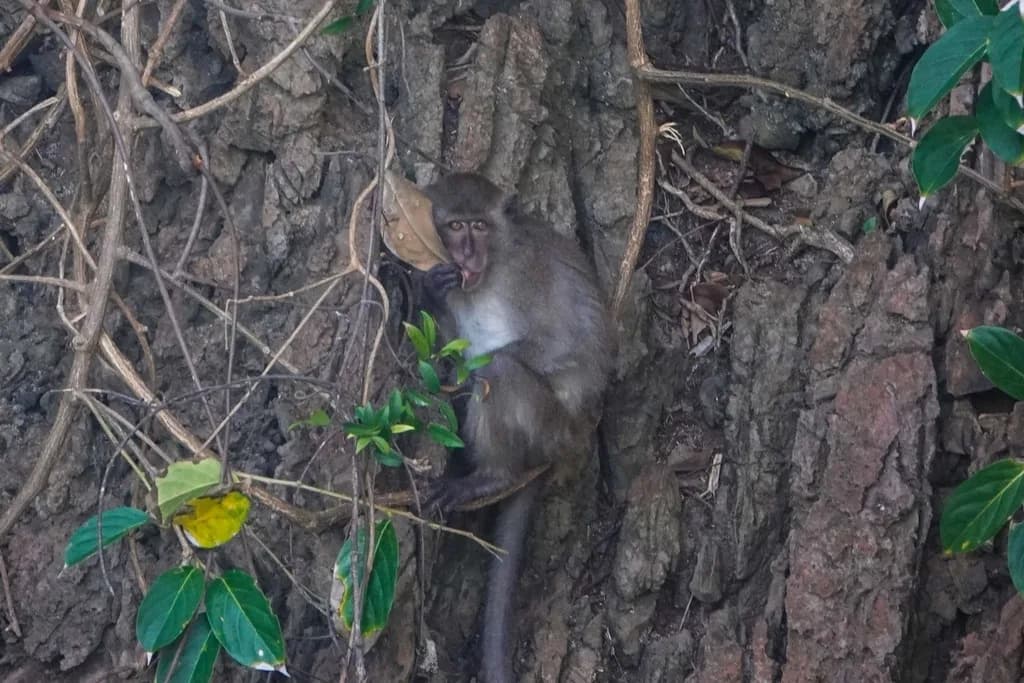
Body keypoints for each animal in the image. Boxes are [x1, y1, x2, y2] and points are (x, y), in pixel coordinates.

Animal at [419, 173, 614, 683]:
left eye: (480, 226)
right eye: (456, 226)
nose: (467, 254)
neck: (492, 269)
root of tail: (564, 441)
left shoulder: (530, 272)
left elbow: (563, 342)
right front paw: (431, 291)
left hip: (548, 424)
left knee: (501, 370)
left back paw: (493, 475)